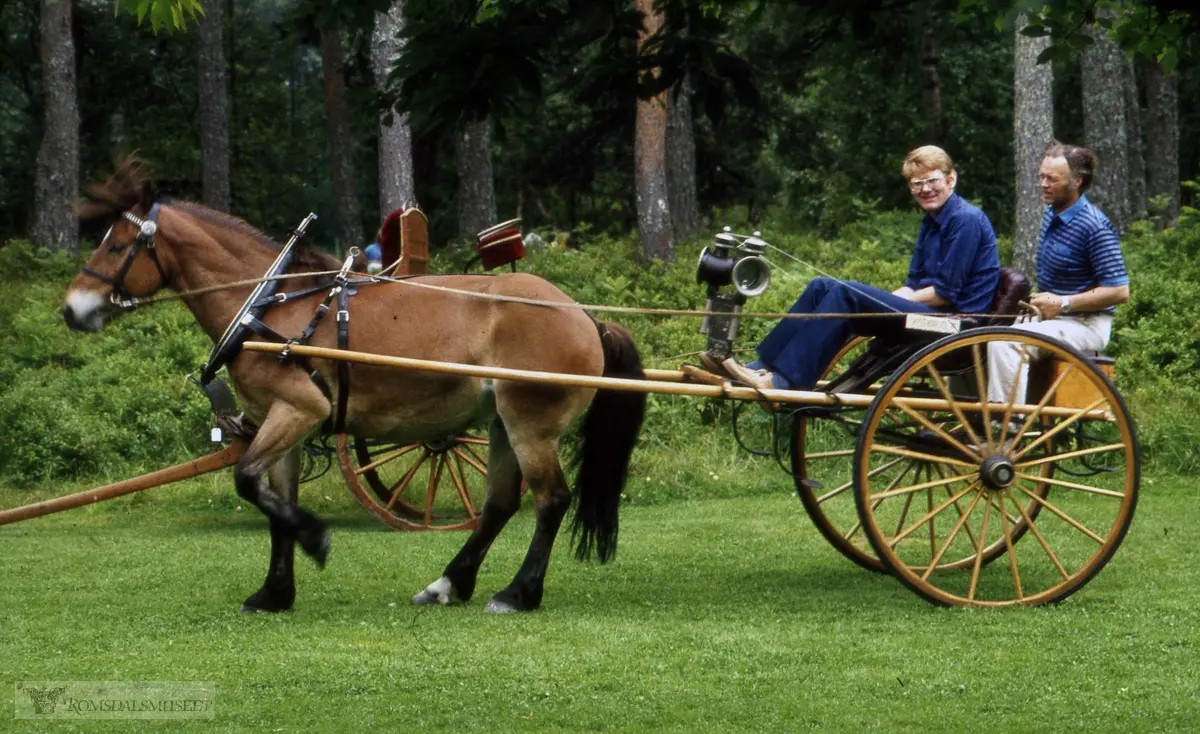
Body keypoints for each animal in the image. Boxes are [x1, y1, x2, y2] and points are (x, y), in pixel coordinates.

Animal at [63, 155, 648, 614]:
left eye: (115, 247)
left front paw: (317, 538)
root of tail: (585, 316)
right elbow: (273, 500)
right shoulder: (280, 421)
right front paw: (274, 592)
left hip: (530, 423)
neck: (268, 307)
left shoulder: (300, 410)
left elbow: (246, 482)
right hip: (503, 420)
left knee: (550, 499)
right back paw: (449, 584)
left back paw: (517, 592)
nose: (71, 309)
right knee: (500, 504)